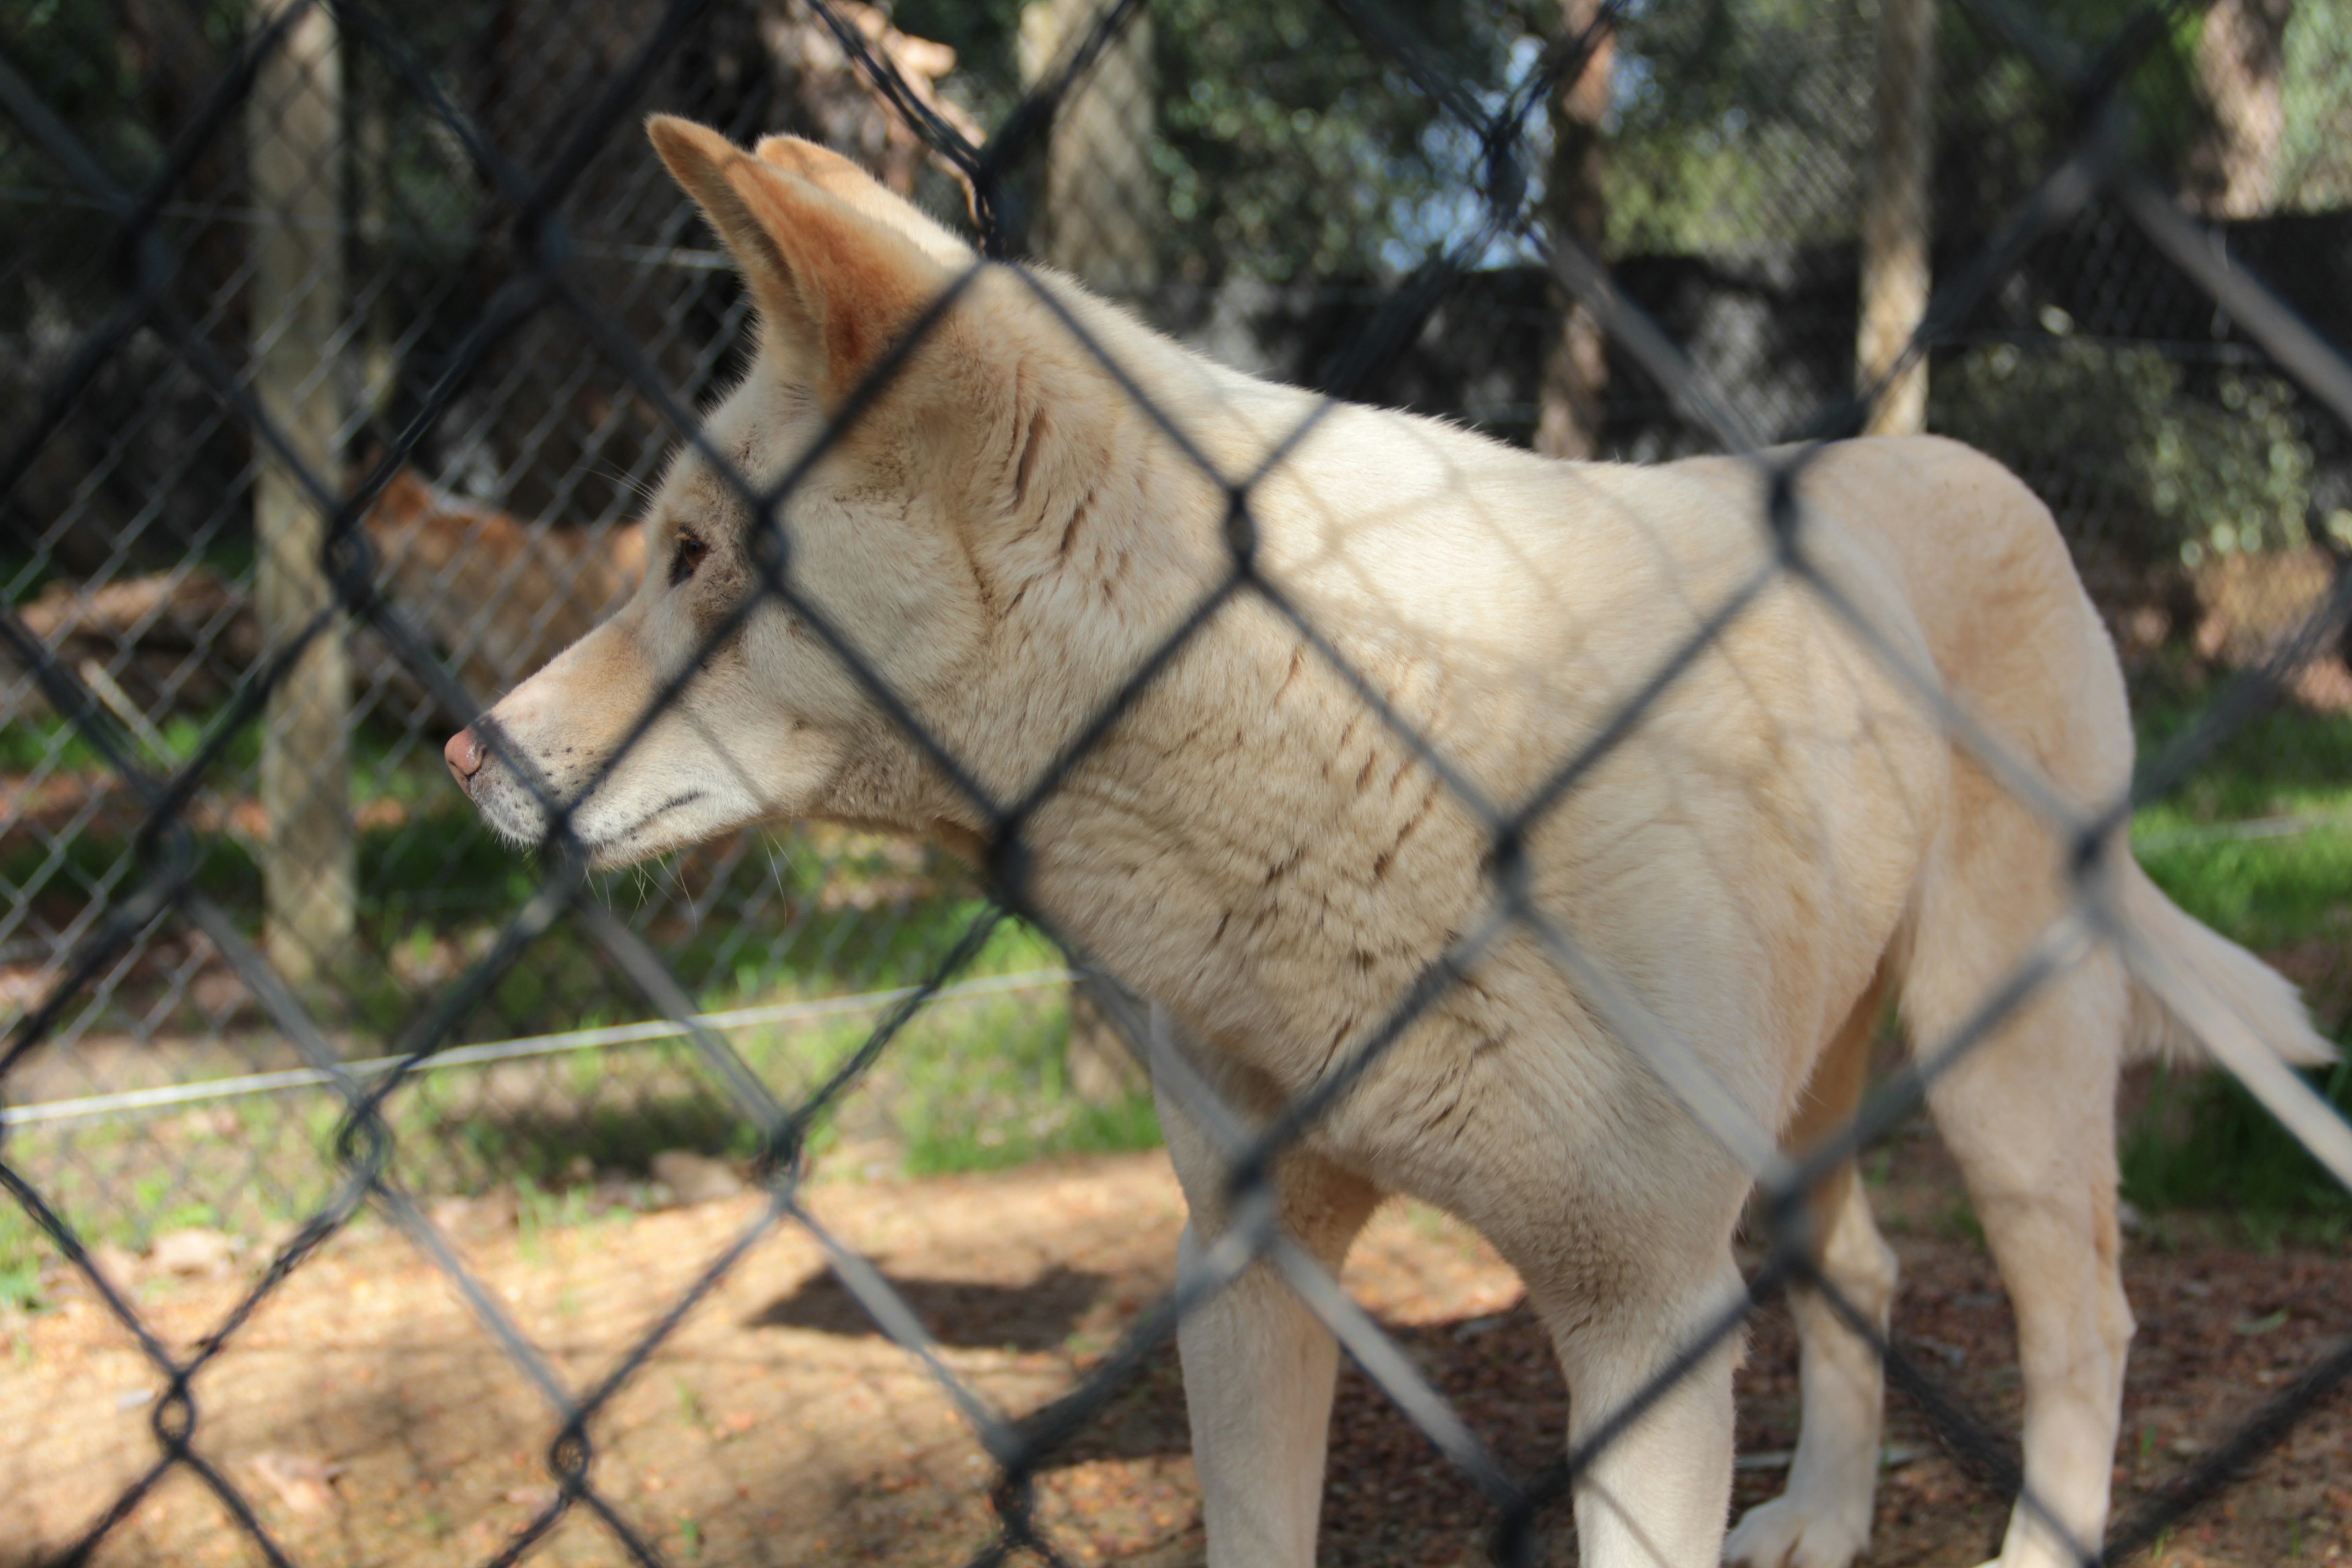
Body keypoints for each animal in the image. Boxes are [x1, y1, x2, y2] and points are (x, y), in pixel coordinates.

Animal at [444, 123, 2333, 1568]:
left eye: (694, 557)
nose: (463, 751)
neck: (1334, 753)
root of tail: (1986, 473)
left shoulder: (1643, 1318)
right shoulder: (1246, 1273)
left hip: (2001, 1071)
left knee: (2084, 1328)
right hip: (1815, 1125)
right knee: (1866, 1266)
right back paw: (1818, 1520)